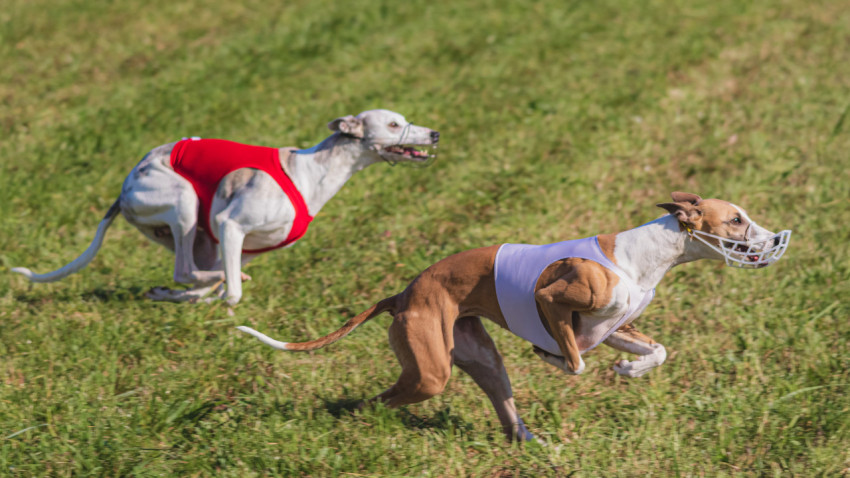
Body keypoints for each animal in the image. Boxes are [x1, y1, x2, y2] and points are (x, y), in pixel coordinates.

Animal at [13, 109, 438, 304]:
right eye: (393, 124)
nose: (434, 132)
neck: (310, 171)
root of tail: (123, 187)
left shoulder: (242, 245)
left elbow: (220, 282)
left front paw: (190, 296)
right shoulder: (230, 224)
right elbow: (230, 292)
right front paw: (223, 293)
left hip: (193, 234)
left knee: (191, 272)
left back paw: (174, 293)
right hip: (182, 202)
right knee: (186, 270)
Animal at [237, 192, 788, 442]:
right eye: (735, 219)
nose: (774, 239)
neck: (643, 255)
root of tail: (403, 293)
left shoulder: (615, 325)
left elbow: (656, 351)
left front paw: (629, 369)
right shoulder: (554, 296)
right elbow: (575, 359)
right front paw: (554, 358)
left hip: (478, 357)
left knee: (501, 403)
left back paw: (529, 441)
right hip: (431, 371)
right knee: (379, 399)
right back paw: (357, 418)